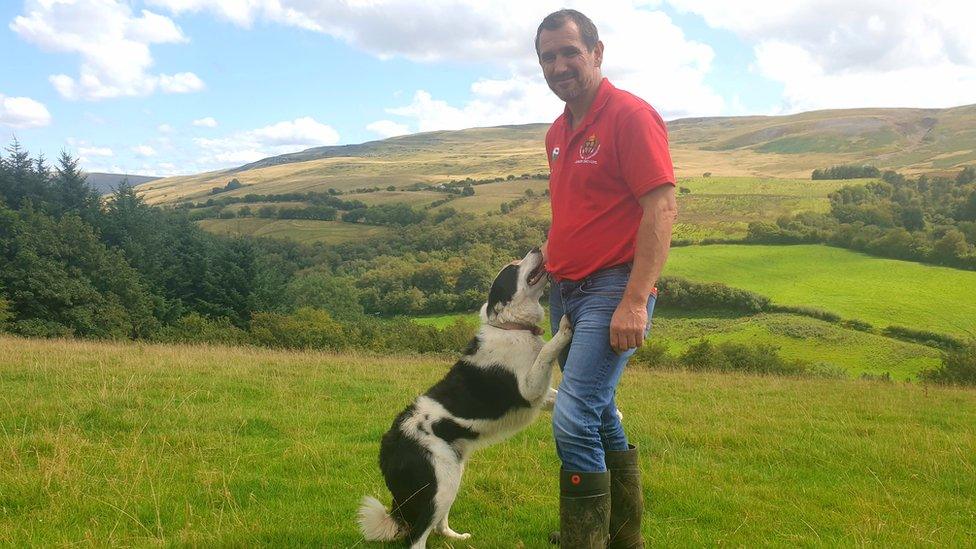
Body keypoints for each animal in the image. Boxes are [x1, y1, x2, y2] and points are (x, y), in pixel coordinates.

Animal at [358, 248, 572, 548]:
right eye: (513, 268)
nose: (535, 249)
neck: (511, 328)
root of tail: (390, 442)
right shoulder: (529, 388)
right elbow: (547, 352)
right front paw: (563, 330)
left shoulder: (539, 396)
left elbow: (556, 393)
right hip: (438, 486)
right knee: (417, 536)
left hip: (452, 475)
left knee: (438, 524)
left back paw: (455, 536)